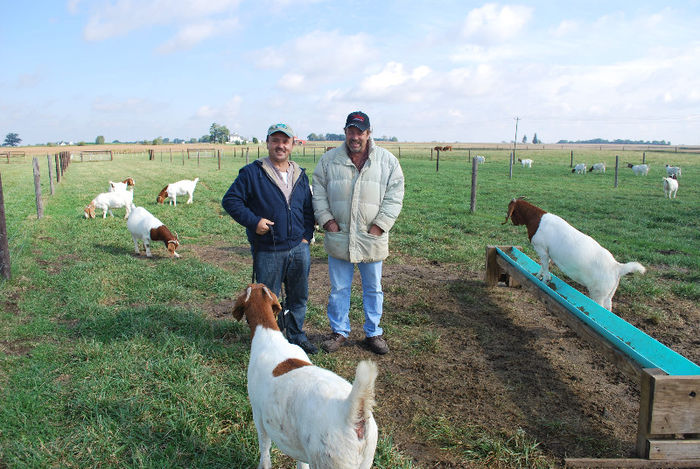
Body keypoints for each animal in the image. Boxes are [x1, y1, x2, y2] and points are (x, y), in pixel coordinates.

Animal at [504, 197, 644, 310]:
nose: (513, 222)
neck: (537, 220)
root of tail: (617, 267)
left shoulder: (542, 249)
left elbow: (544, 265)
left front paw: (544, 281)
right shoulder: (547, 253)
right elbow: (544, 265)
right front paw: (539, 276)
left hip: (598, 293)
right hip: (610, 293)